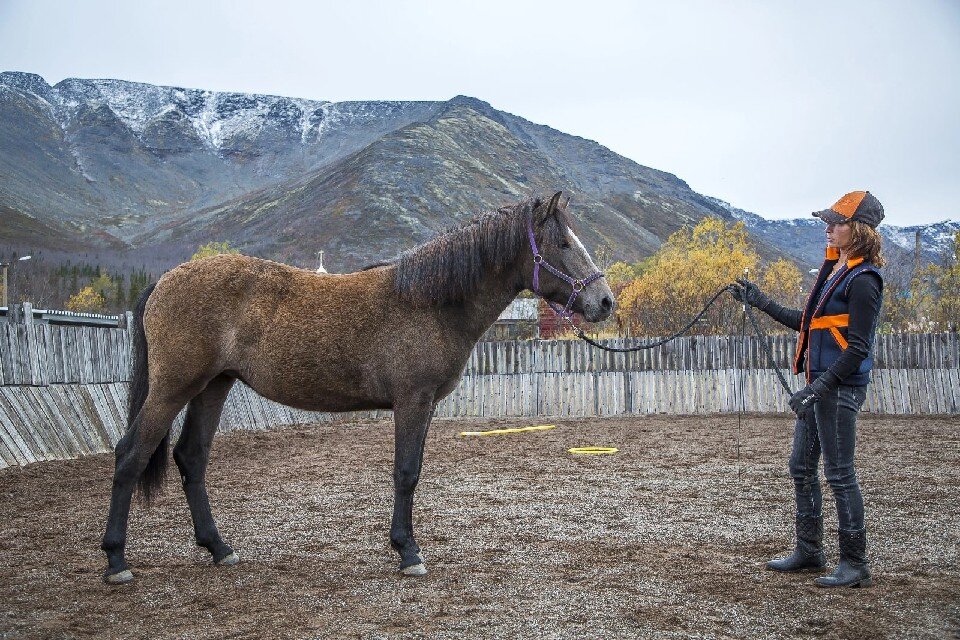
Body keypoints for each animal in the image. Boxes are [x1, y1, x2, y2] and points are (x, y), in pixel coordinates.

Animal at [101, 189, 616, 580]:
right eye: (563, 242)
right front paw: (408, 553)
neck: (430, 301)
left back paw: (219, 547)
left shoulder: (425, 405)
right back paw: (116, 560)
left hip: (214, 386)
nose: (605, 301)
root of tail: (164, 282)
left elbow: (412, 470)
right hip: (173, 387)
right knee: (131, 454)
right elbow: (406, 472)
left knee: (191, 458)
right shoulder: (412, 400)